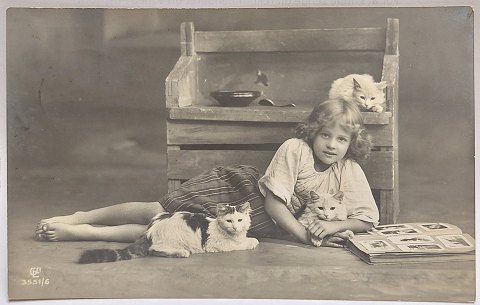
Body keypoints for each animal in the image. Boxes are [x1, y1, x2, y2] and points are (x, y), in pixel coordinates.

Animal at [79, 201, 258, 262]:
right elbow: (244, 243)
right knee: (154, 250)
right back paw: (181, 253)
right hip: (175, 240)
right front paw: (252, 242)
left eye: (239, 220)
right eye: (229, 221)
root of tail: (149, 231)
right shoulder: (216, 245)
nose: (235, 227)